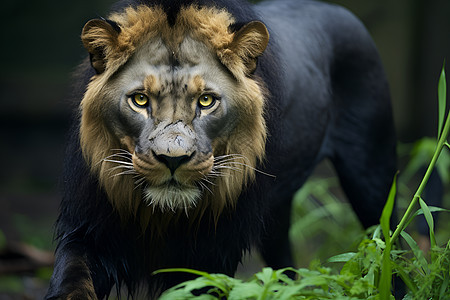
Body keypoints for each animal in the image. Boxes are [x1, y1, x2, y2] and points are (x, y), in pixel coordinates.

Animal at [46, 0, 398, 298]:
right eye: (140, 99)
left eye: (206, 101)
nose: (173, 160)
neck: (162, 217)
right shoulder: (89, 230)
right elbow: (71, 279)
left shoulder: (212, 253)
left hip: (373, 175)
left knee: (390, 245)